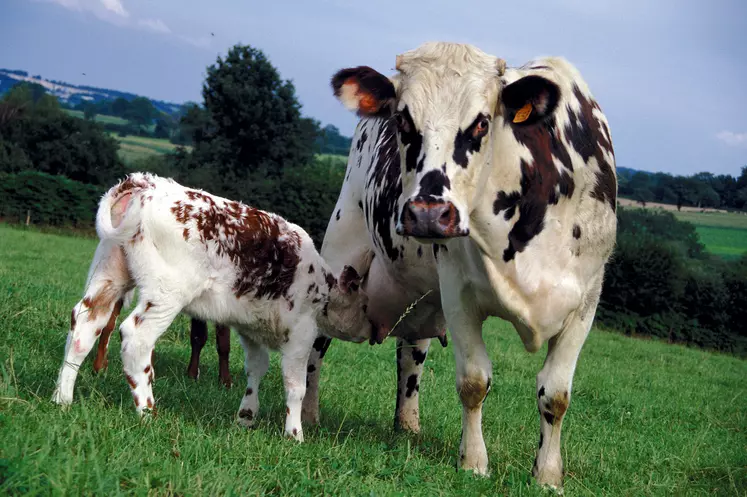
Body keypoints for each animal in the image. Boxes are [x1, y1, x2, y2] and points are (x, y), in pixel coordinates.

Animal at [51, 172, 372, 440]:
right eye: (364, 305)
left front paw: (246, 417)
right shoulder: (301, 335)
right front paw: (294, 434)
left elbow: (255, 370)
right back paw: (147, 411)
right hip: (166, 294)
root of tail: (146, 183)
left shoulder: (251, 329)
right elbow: (295, 388)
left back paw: (62, 398)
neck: (321, 283)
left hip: (108, 277)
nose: (372, 332)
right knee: (135, 338)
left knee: (84, 326)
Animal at [300, 40, 616, 490]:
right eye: (403, 119)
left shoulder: (586, 299)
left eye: (482, 122)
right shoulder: (458, 291)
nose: (428, 214)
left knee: (411, 353)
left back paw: (408, 426)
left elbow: (555, 393)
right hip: (341, 252)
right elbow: (474, 381)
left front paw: (548, 475)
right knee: (317, 341)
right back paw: (307, 414)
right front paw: (473, 462)